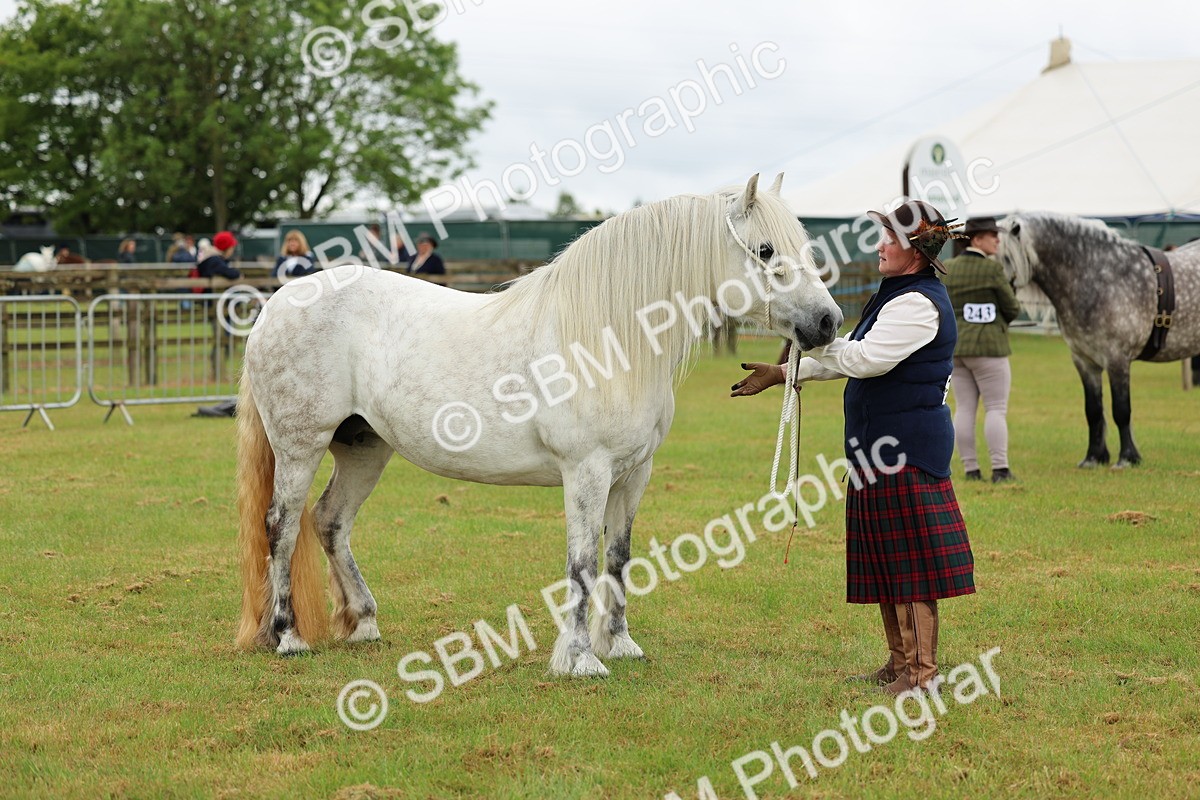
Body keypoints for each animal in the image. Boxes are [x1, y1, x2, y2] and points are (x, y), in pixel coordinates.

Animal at [236, 173, 843, 675]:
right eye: (765, 250)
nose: (828, 322)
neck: (609, 339)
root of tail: (277, 304)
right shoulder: (587, 472)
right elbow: (581, 562)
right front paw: (579, 660)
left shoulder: (634, 474)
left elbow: (618, 558)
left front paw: (619, 645)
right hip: (300, 447)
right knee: (281, 526)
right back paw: (288, 637)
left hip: (364, 447)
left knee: (330, 522)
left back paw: (363, 622)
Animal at [997, 212, 1200, 468]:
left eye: (1006, 256)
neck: (1100, 276)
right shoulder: (1084, 361)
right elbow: (1093, 411)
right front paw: (1093, 457)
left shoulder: (1117, 359)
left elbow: (1121, 410)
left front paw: (1127, 458)